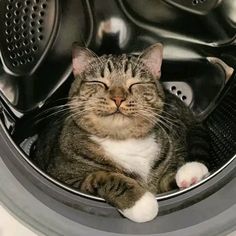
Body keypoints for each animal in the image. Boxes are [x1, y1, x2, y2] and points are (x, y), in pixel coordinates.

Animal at [32, 42, 209, 223]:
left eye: (135, 84)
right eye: (99, 82)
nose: (118, 98)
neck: (123, 141)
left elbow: (166, 179)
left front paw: (190, 172)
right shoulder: (68, 179)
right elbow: (103, 176)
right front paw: (141, 203)